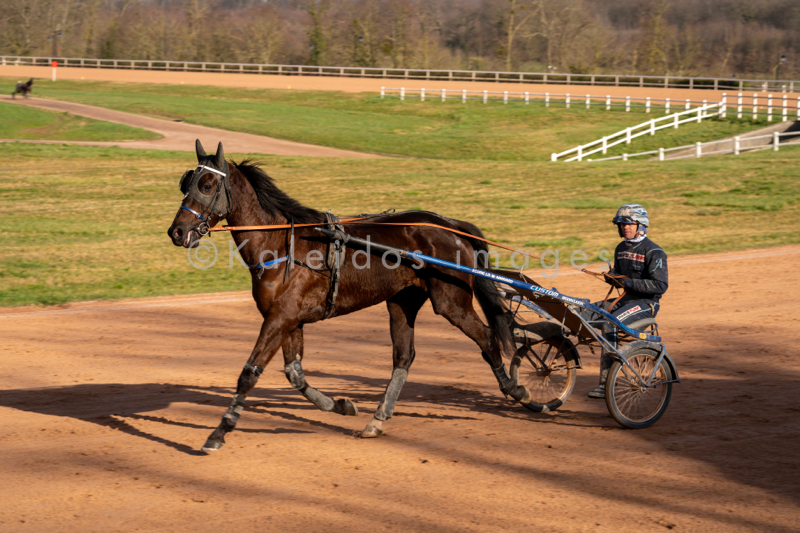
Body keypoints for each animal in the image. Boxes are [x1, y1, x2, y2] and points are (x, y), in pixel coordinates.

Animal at [167, 139, 532, 450]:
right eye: (186, 183)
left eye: (207, 185)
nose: (177, 232)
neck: (281, 245)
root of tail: (450, 226)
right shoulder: (289, 319)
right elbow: (295, 374)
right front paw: (340, 405)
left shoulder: (281, 316)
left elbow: (249, 373)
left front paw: (219, 432)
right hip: (402, 301)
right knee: (404, 357)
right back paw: (377, 419)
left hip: (450, 301)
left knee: (487, 338)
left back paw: (518, 391)